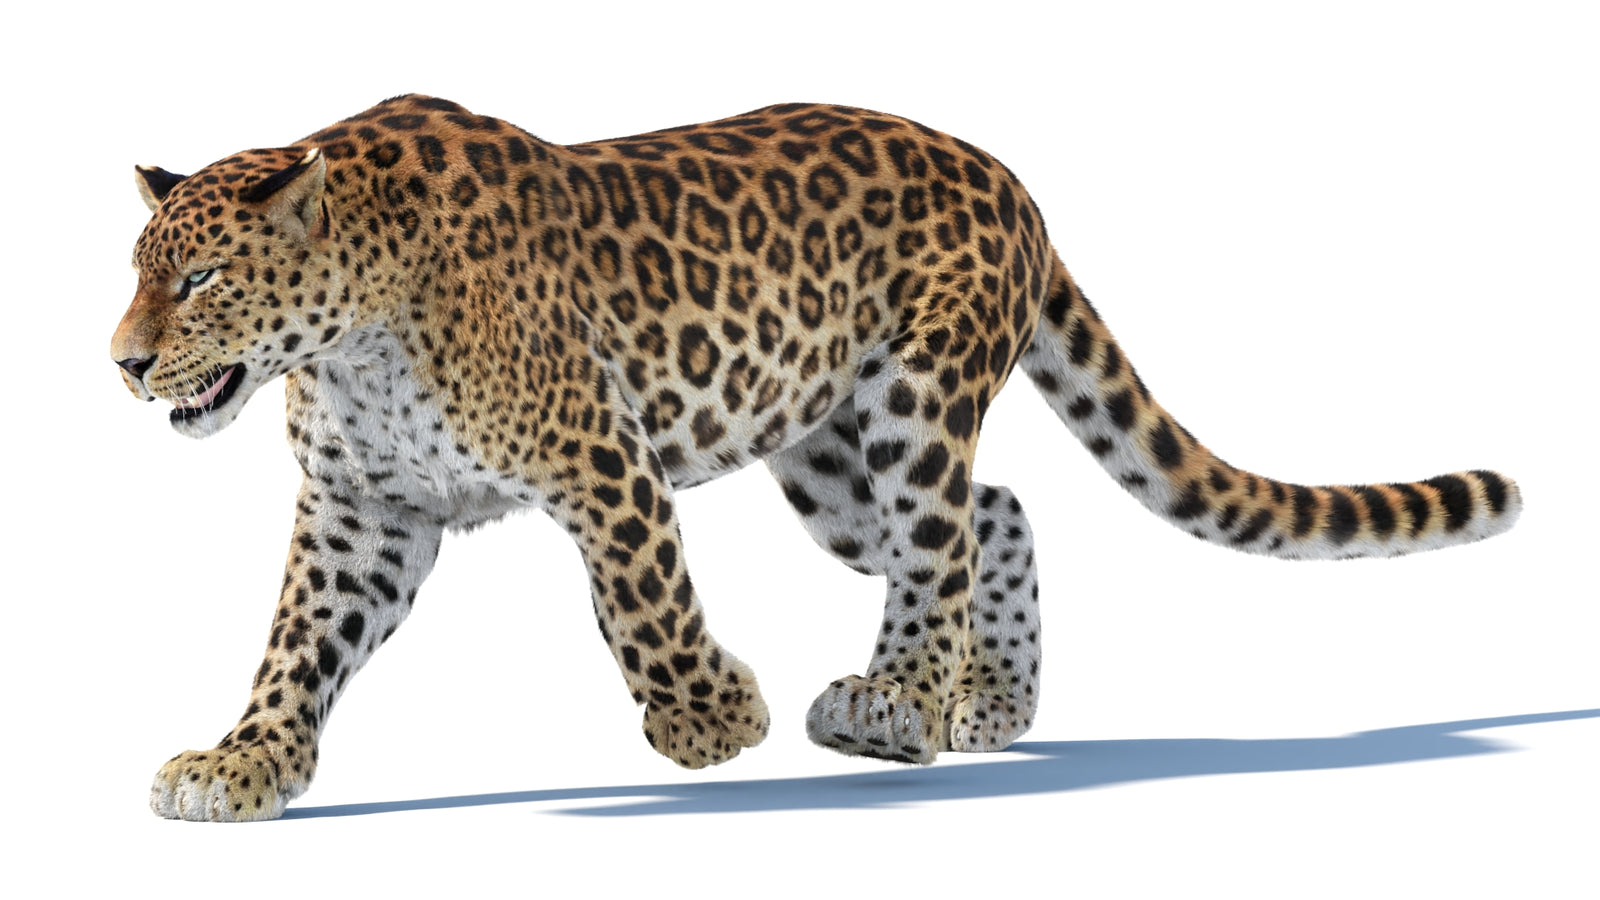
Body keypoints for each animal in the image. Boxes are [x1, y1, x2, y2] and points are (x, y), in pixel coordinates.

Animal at [112, 95, 1522, 822]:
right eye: (138, 274)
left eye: (201, 280)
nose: (122, 362)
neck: (353, 333)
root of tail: (1007, 175)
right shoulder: (363, 509)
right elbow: (297, 643)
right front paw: (241, 764)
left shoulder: (598, 458)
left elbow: (642, 600)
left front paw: (708, 721)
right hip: (831, 463)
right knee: (995, 512)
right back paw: (986, 703)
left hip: (916, 395)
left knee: (945, 537)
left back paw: (897, 704)